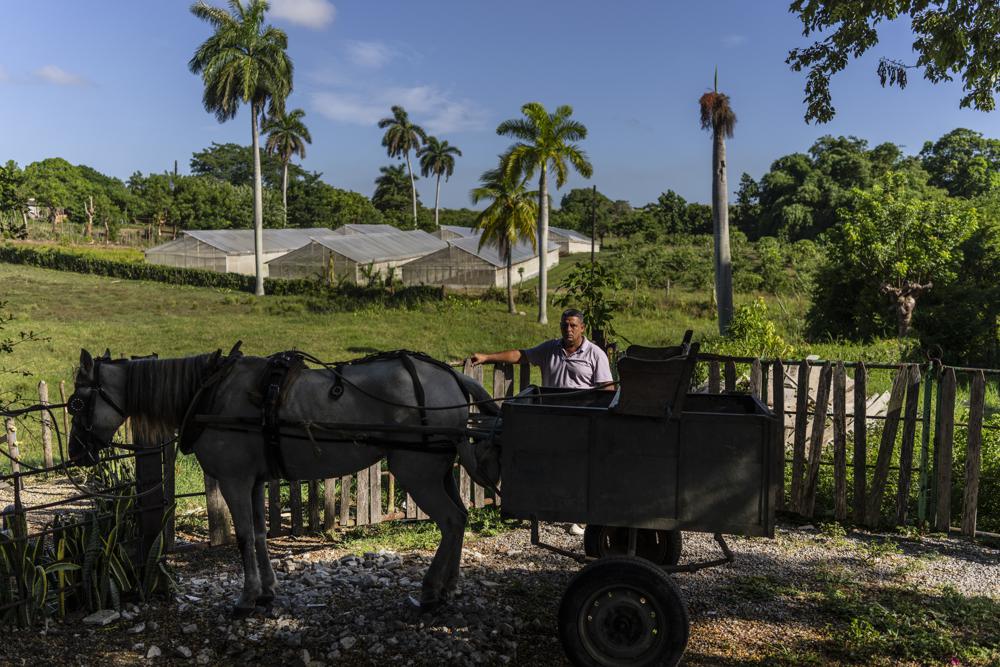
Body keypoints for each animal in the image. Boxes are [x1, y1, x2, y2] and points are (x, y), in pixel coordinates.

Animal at [65, 348, 500, 620]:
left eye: (77, 404)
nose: (75, 454)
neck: (210, 393)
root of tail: (452, 376)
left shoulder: (235, 480)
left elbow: (242, 537)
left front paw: (245, 599)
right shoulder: (255, 481)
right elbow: (258, 534)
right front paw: (267, 593)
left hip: (416, 471)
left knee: (450, 521)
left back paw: (430, 592)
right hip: (438, 471)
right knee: (459, 518)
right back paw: (446, 588)